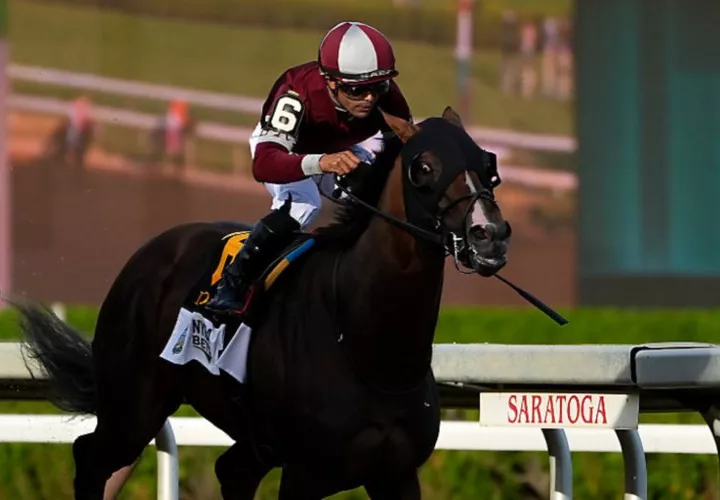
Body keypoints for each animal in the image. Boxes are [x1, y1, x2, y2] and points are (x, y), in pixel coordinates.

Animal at [16, 107, 516, 498]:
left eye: (487, 163)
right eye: (423, 167)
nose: (488, 234)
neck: (366, 346)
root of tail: (149, 252)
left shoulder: (396, 473)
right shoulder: (304, 474)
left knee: (230, 470)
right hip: (133, 401)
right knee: (92, 457)